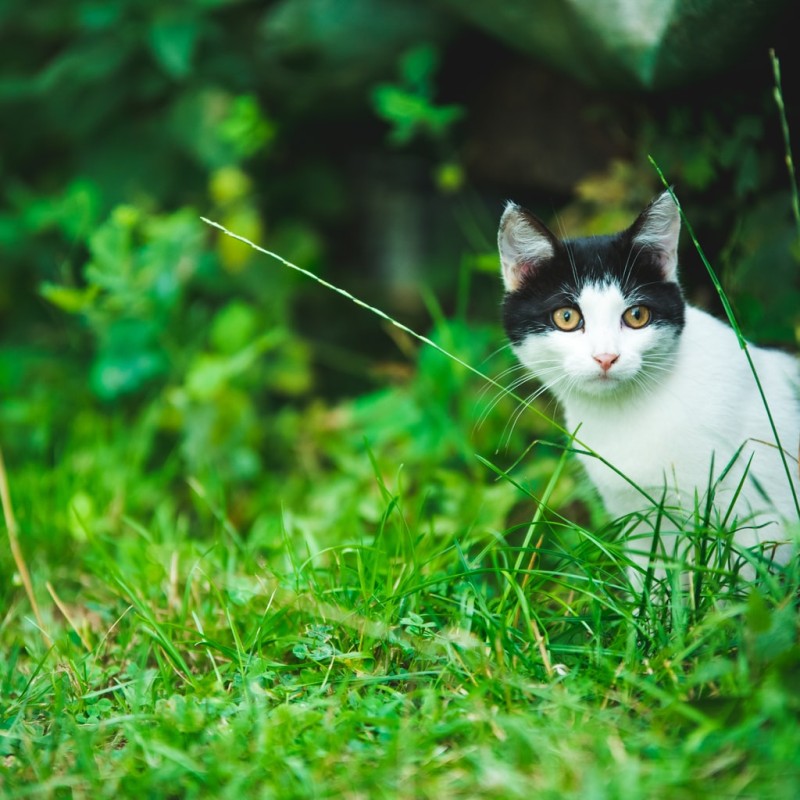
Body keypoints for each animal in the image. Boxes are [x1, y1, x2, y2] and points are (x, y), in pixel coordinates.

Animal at [496, 190, 800, 584]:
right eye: (566, 317)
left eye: (637, 316)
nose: (606, 357)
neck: (626, 415)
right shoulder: (638, 518)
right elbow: (652, 580)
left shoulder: (763, 519)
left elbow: (741, 585)